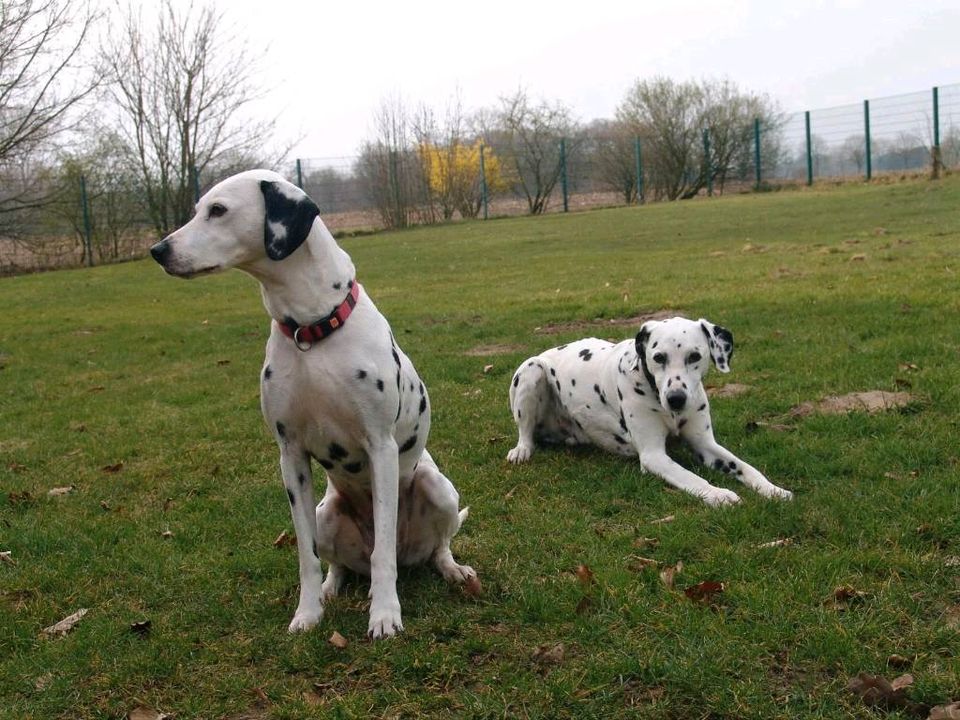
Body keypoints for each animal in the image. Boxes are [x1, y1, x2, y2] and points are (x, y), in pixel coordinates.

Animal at [150, 169, 476, 636]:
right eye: (199, 209)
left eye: (218, 210)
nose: (158, 250)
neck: (312, 330)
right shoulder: (291, 457)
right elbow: (306, 554)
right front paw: (307, 612)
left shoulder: (380, 449)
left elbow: (382, 556)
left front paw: (385, 614)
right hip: (327, 513)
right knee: (339, 563)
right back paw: (329, 589)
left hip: (438, 488)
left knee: (435, 547)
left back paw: (453, 571)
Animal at [506, 316, 792, 506]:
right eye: (658, 357)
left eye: (694, 356)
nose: (676, 399)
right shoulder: (654, 456)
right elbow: (690, 477)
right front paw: (718, 494)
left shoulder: (706, 445)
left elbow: (746, 467)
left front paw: (773, 489)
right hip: (531, 370)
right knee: (526, 433)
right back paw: (521, 450)